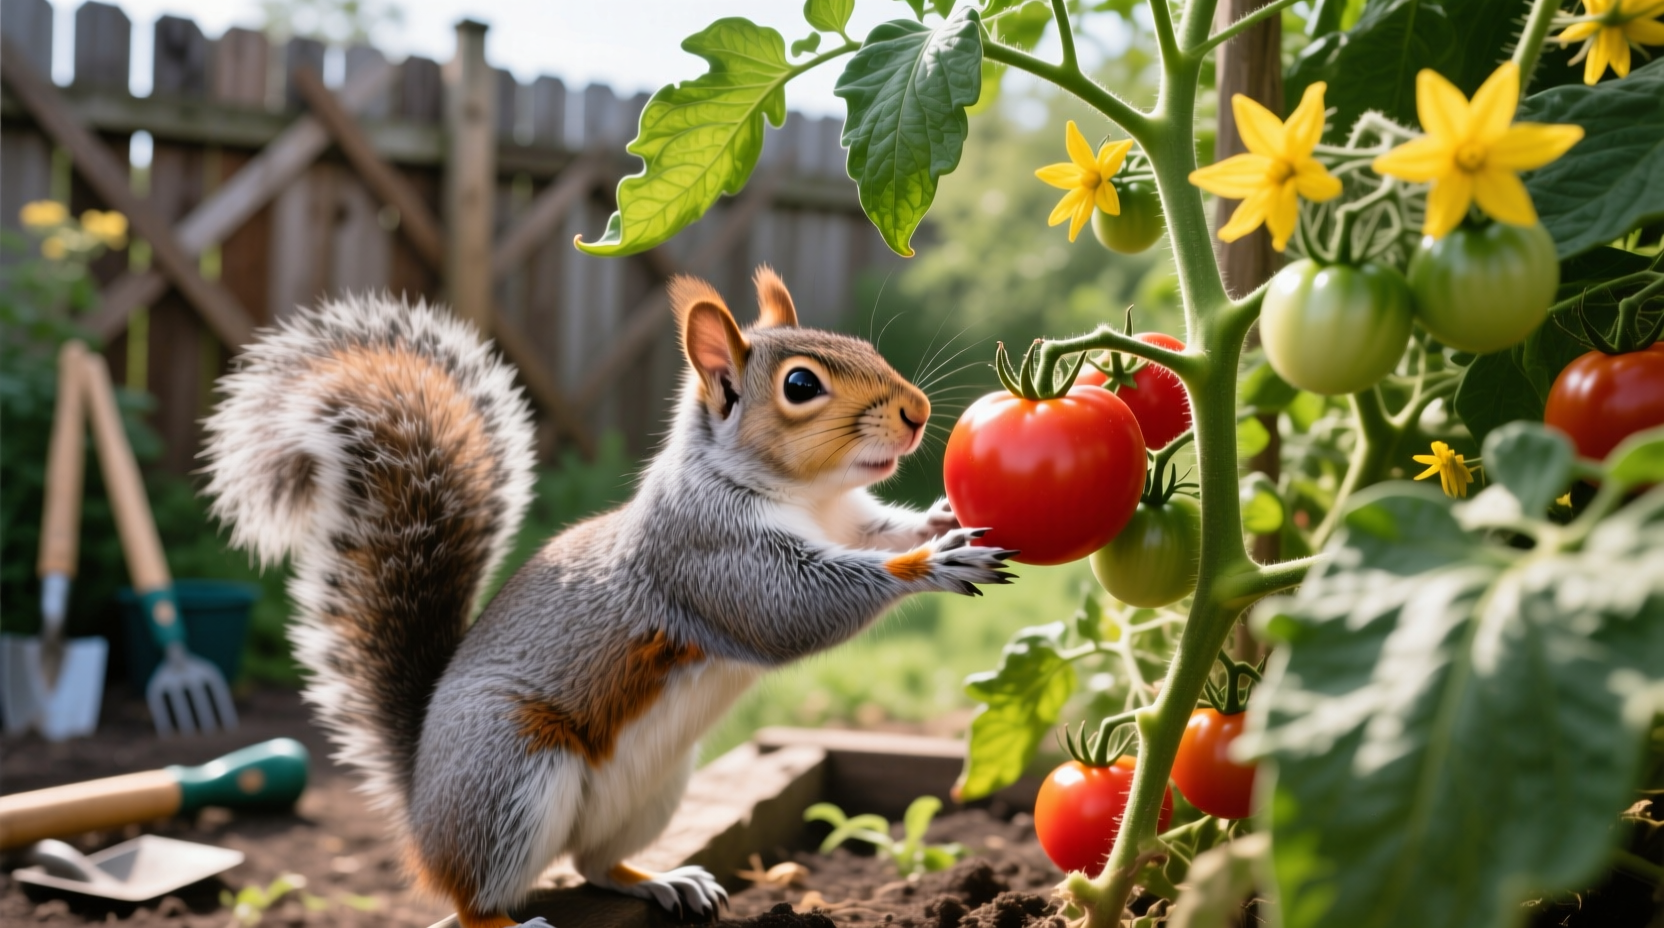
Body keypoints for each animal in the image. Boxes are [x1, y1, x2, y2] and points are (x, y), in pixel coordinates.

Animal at [201, 267, 1016, 928]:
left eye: (860, 344)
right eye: (801, 386)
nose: (917, 411)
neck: (811, 499)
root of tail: (421, 803)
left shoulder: (854, 522)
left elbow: (884, 531)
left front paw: (942, 517)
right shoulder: (706, 553)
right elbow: (793, 607)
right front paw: (934, 560)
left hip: (654, 789)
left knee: (592, 863)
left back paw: (661, 881)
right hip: (510, 772)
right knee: (474, 897)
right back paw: (509, 919)